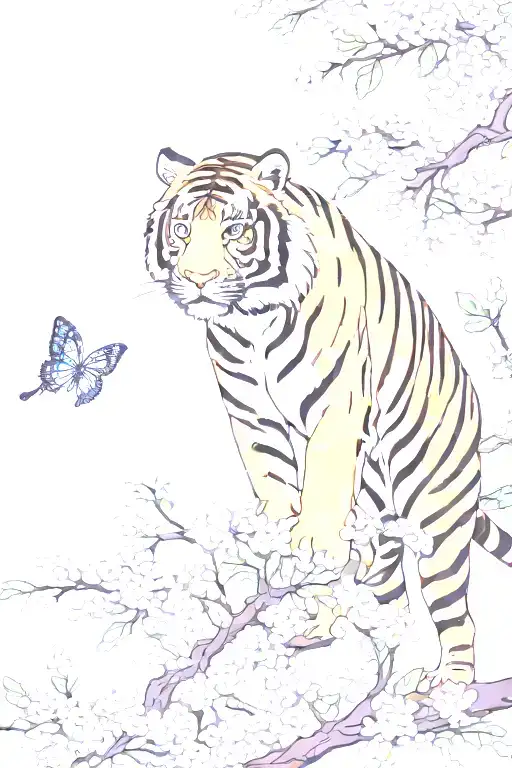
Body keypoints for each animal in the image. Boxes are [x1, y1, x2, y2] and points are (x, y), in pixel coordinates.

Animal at [144, 145, 512, 686]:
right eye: (183, 229)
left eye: (235, 230)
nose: (198, 282)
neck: (251, 319)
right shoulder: (249, 409)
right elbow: (270, 474)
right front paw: (278, 540)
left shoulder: (338, 404)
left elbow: (321, 474)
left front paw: (313, 544)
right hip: (380, 521)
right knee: (391, 597)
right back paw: (356, 640)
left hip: (436, 517)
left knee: (457, 615)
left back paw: (447, 686)